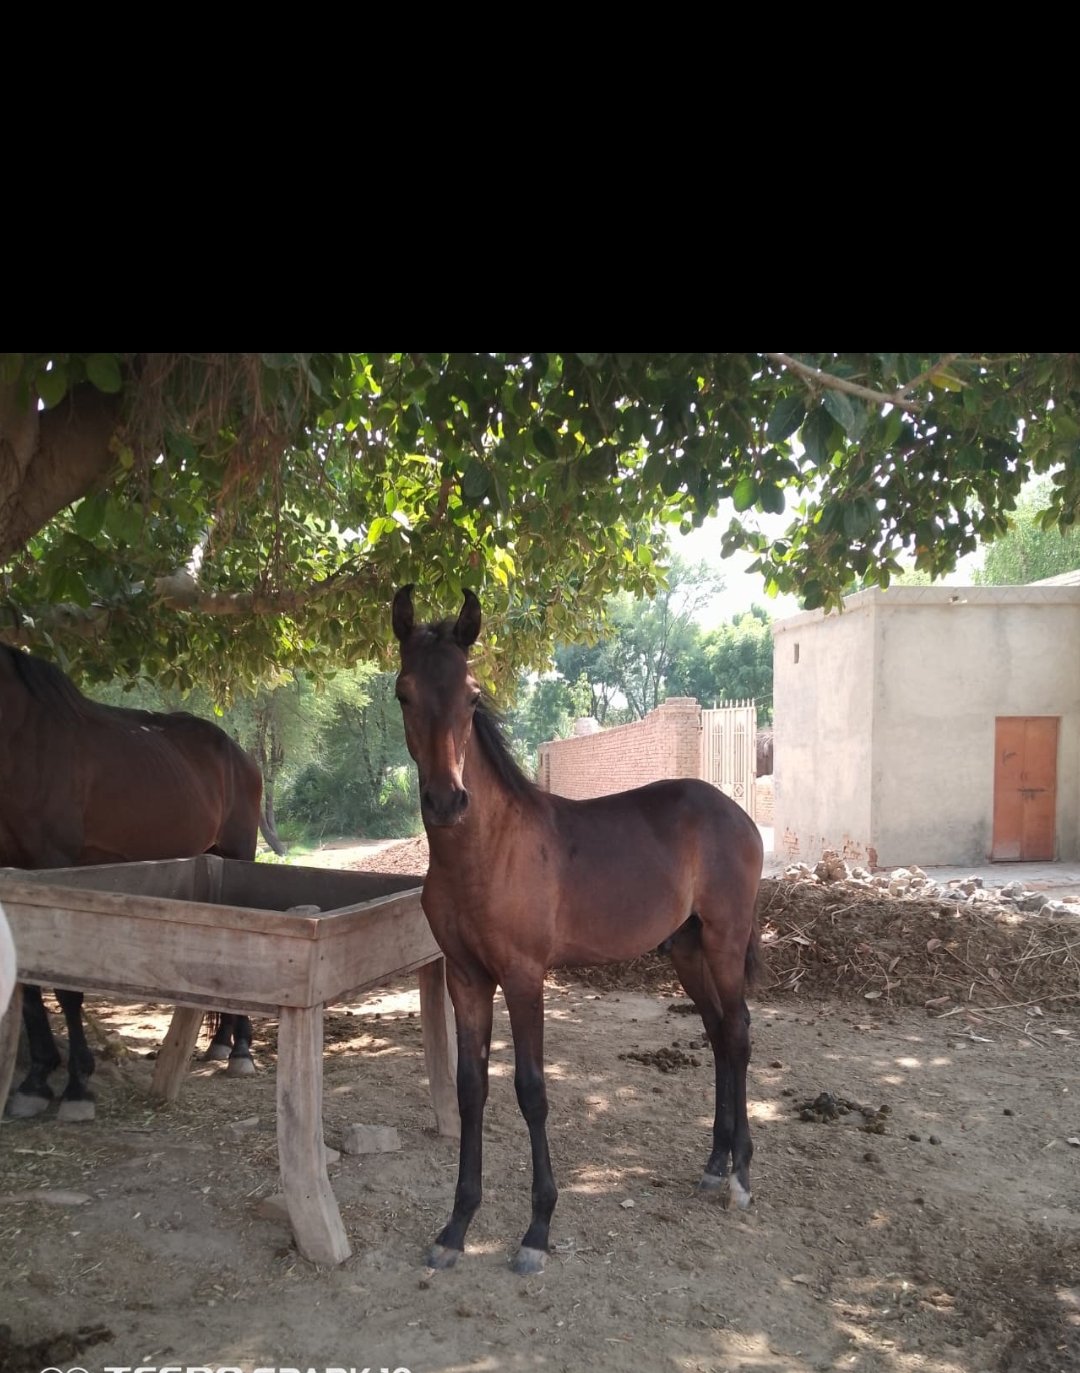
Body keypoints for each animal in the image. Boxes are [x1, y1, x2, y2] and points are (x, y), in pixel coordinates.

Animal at [0, 643, 281, 1121]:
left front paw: (77, 1087)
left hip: (238, 853)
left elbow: (66, 986)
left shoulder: (52, 868)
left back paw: (241, 1050)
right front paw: (35, 1082)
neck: (22, 739)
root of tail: (239, 753)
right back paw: (221, 1044)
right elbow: (31, 985)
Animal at [392, 586, 764, 1275]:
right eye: (404, 692)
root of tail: (736, 812)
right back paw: (713, 1165)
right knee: (718, 1036)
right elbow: (470, 1088)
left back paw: (741, 1177)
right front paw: (457, 1225)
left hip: (725, 942)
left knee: (738, 1033)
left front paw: (537, 1229)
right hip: (687, 949)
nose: (447, 801)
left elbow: (531, 1090)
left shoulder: (523, 977)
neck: (487, 853)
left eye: (473, 694)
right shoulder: (466, 977)